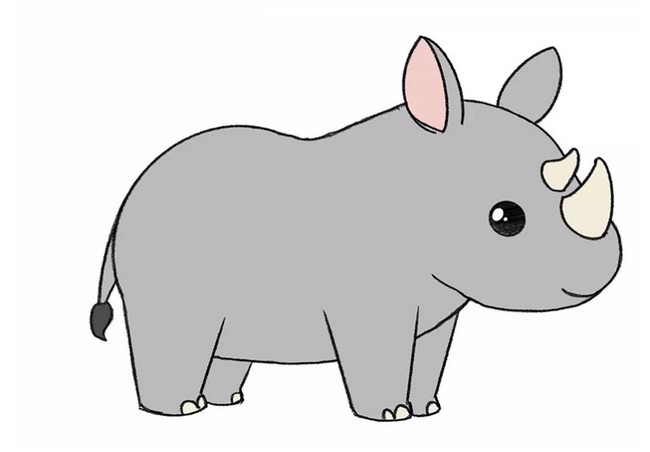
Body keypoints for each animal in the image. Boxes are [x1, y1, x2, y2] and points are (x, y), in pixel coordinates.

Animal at [90, 36, 622, 421]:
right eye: (506, 219)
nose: (600, 272)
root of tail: (126, 201)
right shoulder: (369, 301)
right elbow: (378, 351)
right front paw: (390, 416)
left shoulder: (439, 307)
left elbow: (428, 356)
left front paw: (426, 410)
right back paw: (181, 411)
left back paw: (226, 405)